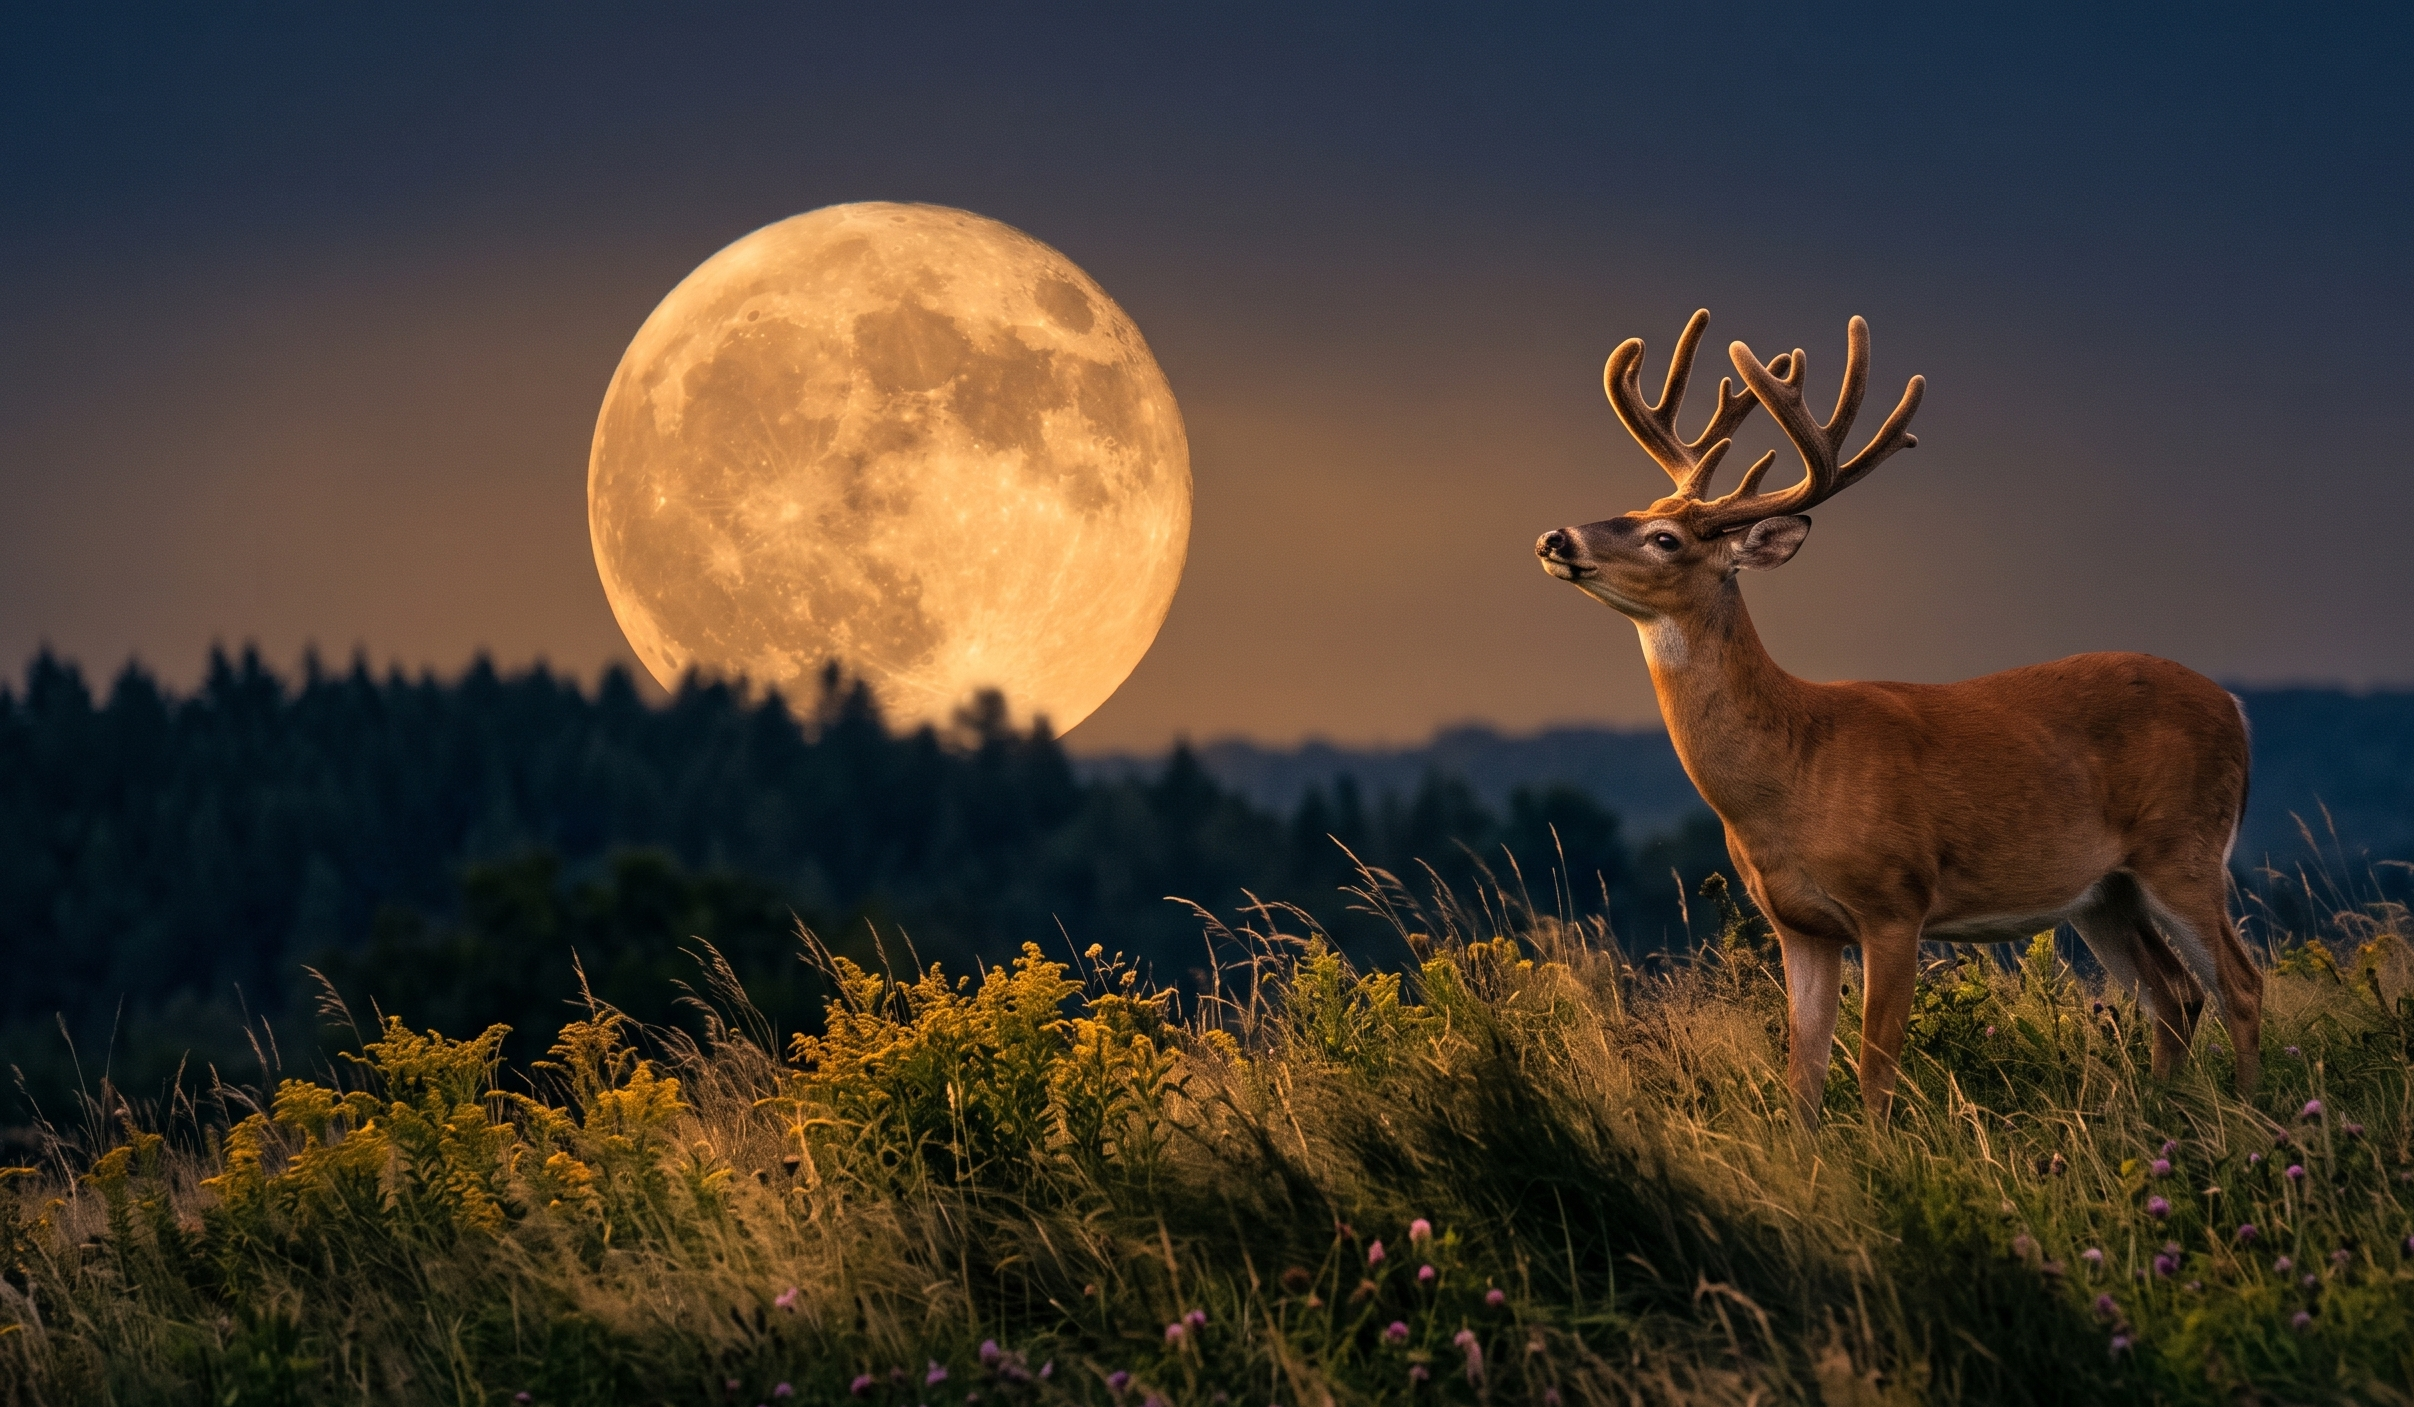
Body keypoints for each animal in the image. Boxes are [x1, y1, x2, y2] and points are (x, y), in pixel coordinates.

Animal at [1535, 309, 2263, 1128]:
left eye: (1667, 538)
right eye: (1640, 509)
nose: (1557, 538)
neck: (1793, 767)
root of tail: (2235, 709)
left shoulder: (1895, 900)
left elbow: (1874, 1069)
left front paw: (1881, 1148)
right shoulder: (1798, 924)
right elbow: (1804, 1073)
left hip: (2185, 848)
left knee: (2240, 985)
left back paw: (2251, 1119)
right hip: (2104, 891)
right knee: (2174, 994)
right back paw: (2164, 1116)